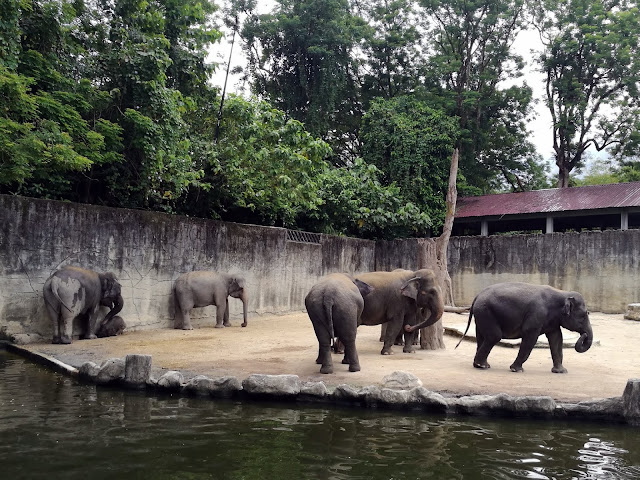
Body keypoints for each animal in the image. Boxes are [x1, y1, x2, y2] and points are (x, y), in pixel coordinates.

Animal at [458, 284, 592, 374]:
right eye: (584, 315)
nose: (584, 334)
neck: (562, 293)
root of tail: (477, 296)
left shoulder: (553, 321)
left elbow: (556, 339)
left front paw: (561, 371)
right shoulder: (537, 314)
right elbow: (530, 337)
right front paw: (516, 370)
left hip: (481, 315)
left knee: (481, 337)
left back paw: (479, 365)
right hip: (486, 312)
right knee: (494, 336)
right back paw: (482, 366)